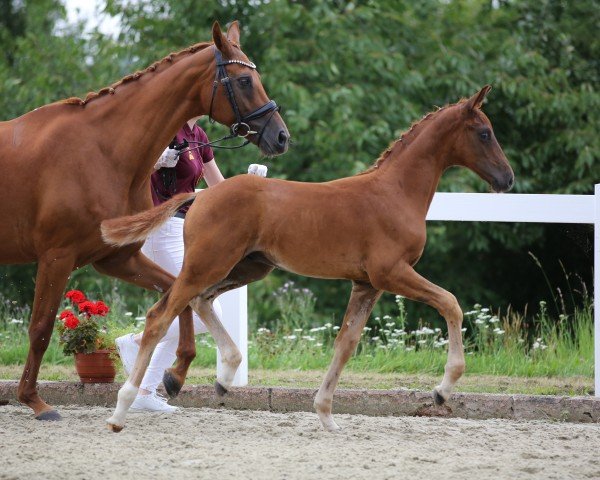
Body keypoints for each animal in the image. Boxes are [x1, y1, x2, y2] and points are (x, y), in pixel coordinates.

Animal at [102, 85, 510, 432]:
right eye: (484, 133)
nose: (507, 178)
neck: (395, 193)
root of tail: (199, 196)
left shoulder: (366, 284)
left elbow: (346, 344)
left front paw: (326, 415)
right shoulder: (391, 273)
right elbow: (451, 303)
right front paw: (442, 390)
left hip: (248, 267)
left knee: (201, 302)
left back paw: (222, 376)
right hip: (207, 264)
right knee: (160, 316)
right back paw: (122, 410)